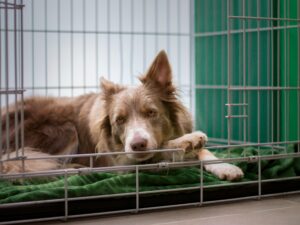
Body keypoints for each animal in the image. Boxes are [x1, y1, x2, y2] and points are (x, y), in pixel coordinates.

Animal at [0, 51, 244, 181]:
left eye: (151, 113)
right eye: (119, 120)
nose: (137, 144)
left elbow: (205, 152)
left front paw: (225, 166)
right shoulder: (121, 162)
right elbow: (160, 151)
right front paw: (187, 141)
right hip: (64, 129)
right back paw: (74, 169)